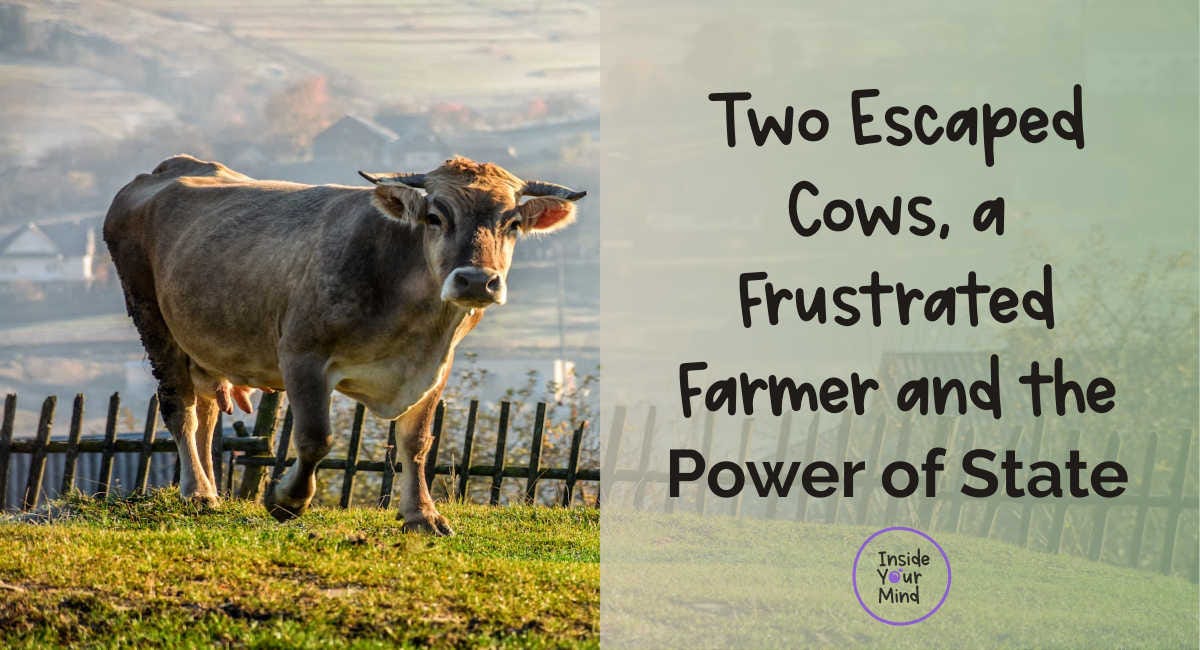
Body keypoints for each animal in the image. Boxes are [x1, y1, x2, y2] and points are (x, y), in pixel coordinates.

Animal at [103, 154, 586, 535]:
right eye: (435, 217)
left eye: (513, 223)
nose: (475, 280)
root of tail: (168, 168)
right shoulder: (302, 354)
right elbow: (316, 437)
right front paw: (286, 499)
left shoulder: (435, 368)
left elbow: (417, 442)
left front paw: (422, 515)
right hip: (151, 317)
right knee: (179, 408)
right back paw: (199, 492)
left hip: (203, 342)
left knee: (205, 414)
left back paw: (207, 490)